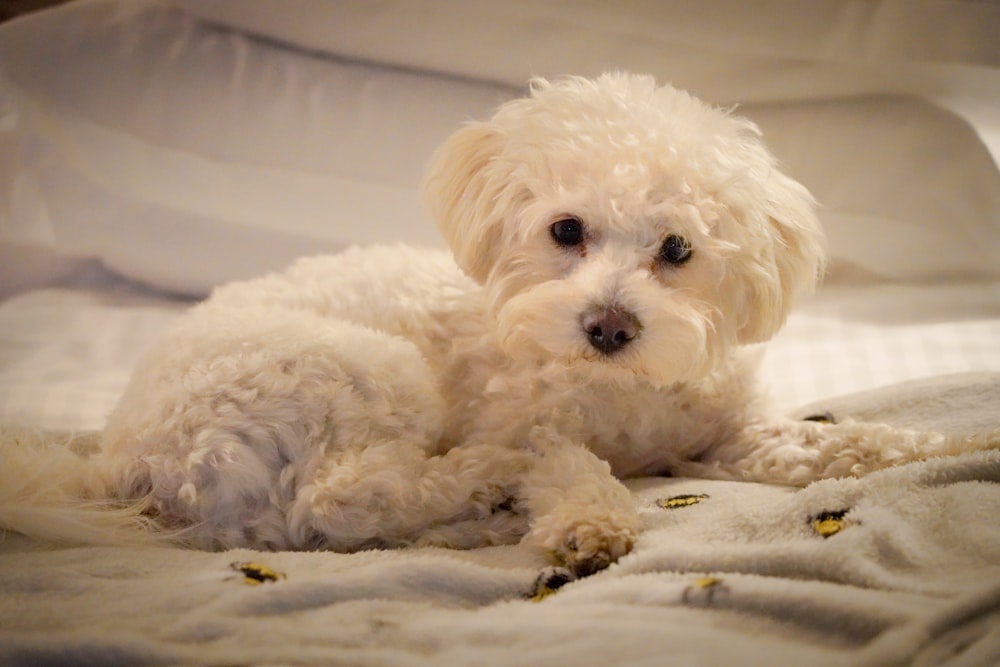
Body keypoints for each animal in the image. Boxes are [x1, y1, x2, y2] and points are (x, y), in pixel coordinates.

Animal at [1, 72, 992, 576]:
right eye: (566, 230)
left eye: (676, 248)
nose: (607, 325)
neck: (622, 394)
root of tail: (123, 455)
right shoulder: (535, 420)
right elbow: (567, 462)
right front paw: (588, 522)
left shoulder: (729, 437)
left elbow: (838, 443)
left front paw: (938, 444)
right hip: (357, 370)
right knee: (338, 502)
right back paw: (482, 486)